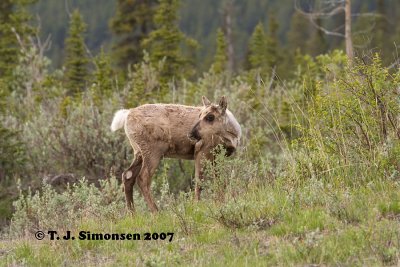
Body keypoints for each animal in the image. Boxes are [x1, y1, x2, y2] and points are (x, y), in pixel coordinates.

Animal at [111, 96, 241, 214]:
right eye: (200, 115)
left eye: (210, 117)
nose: (191, 134)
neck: (231, 135)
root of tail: (126, 115)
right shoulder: (201, 150)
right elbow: (199, 181)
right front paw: (196, 206)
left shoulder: (217, 157)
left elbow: (219, 181)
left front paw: (221, 202)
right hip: (152, 151)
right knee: (142, 178)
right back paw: (156, 212)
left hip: (138, 152)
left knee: (127, 175)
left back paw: (132, 213)